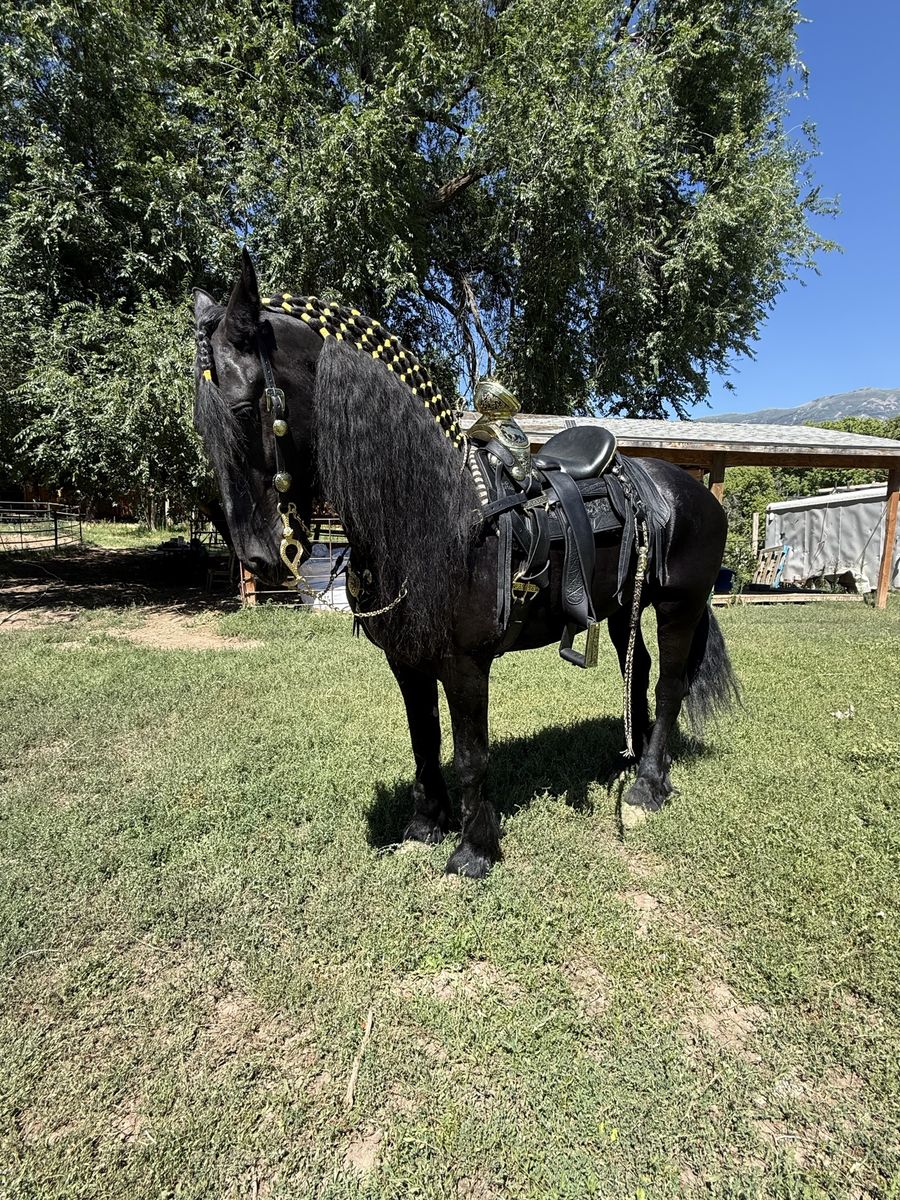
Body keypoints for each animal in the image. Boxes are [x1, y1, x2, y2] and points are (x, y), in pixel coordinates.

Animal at [193, 251, 738, 878]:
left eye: (243, 407)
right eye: (202, 423)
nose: (257, 554)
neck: (437, 509)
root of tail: (687, 489)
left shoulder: (465, 662)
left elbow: (469, 753)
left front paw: (474, 851)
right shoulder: (408, 658)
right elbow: (424, 740)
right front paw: (425, 826)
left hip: (679, 605)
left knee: (671, 683)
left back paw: (647, 788)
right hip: (626, 604)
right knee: (639, 671)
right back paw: (637, 758)